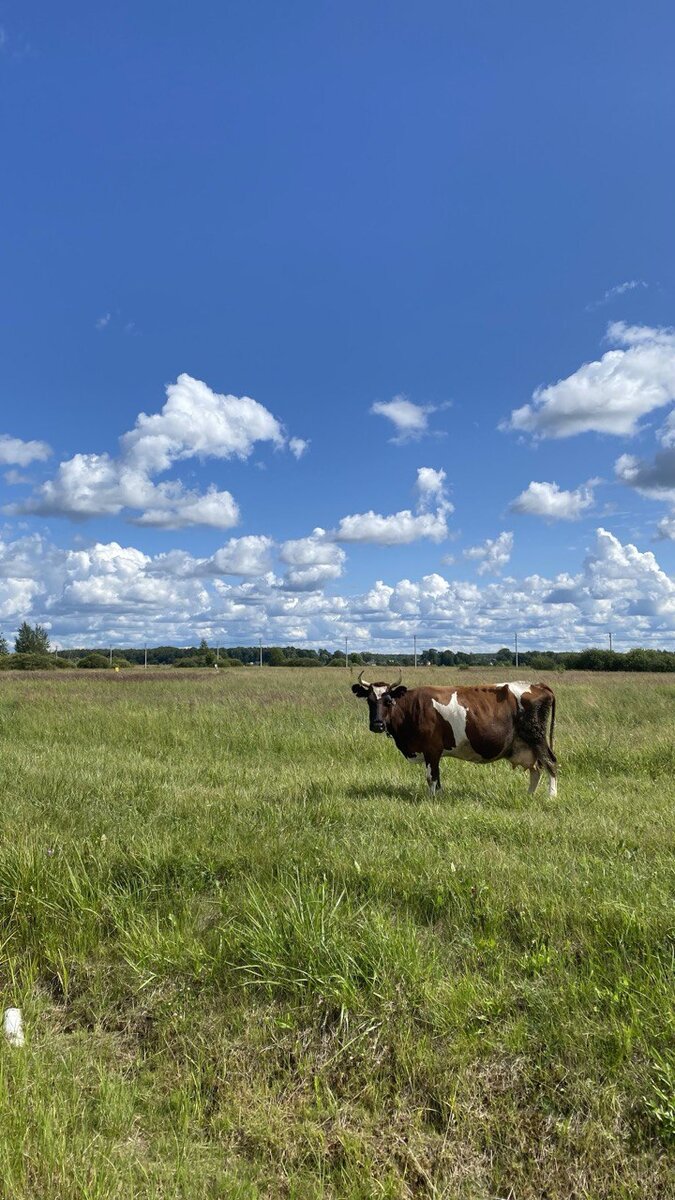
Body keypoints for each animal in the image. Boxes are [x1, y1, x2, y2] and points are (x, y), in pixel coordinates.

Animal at [348, 676, 554, 796]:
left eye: (389, 700)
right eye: (370, 700)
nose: (377, 724)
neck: (412, 708)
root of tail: (538, 685)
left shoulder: (432, 749)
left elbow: (431, 777)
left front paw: (432, 799)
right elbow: (436, 777)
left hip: (537, 738)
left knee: (550, 763)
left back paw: (551, 796)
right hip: (526, 744)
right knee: (536, 768)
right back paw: (529, 795)